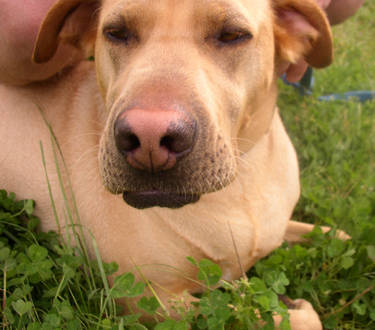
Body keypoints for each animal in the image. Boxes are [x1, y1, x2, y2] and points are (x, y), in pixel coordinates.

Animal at [0, 0, 334, 326]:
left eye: (232, 35)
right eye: (116, 32)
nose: (149, 137)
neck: (241, 185)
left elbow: (330, 232)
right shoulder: (146, 296)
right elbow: (282, 317)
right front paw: (290, 308)